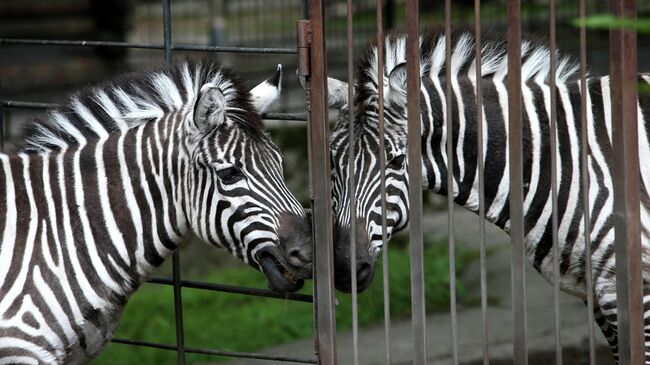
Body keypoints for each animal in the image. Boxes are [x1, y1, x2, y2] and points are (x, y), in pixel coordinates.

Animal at [322, 31, 648, 362]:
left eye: (398, 161)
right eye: (332, 162)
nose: (346, 270)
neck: (559, 159)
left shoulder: (632, 287)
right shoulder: (594, 295)